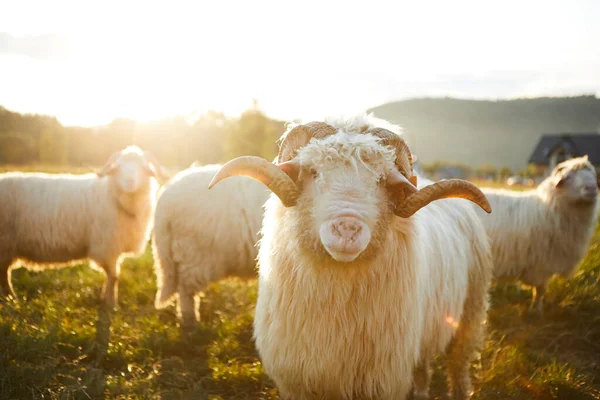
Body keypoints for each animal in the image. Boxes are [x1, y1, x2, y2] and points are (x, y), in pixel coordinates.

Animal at [0, 145, 165, 308]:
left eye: (144, 167)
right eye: (118, 167)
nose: (130, 182)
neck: (113, 195)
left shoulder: (114, 246)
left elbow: (113, 276)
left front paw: (106, 299)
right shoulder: (106, 246)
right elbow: (114, 276)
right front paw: (111, 304)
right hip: (5, 241)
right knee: (4, 272)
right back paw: (11, 297)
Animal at [209, 115, 494, 400]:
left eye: (381, 181)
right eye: (313, 172)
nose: (347, 229)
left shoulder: (381, 381)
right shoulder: (296, 379)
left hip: (470, 314)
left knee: (458, 365)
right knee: (423, 365)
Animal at [474, 156, 596, 316]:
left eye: (594, 175)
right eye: (568, 177)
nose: (591, 189)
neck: (548, 208)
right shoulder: (541, 264)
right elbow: (540, 290)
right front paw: (537, 311)